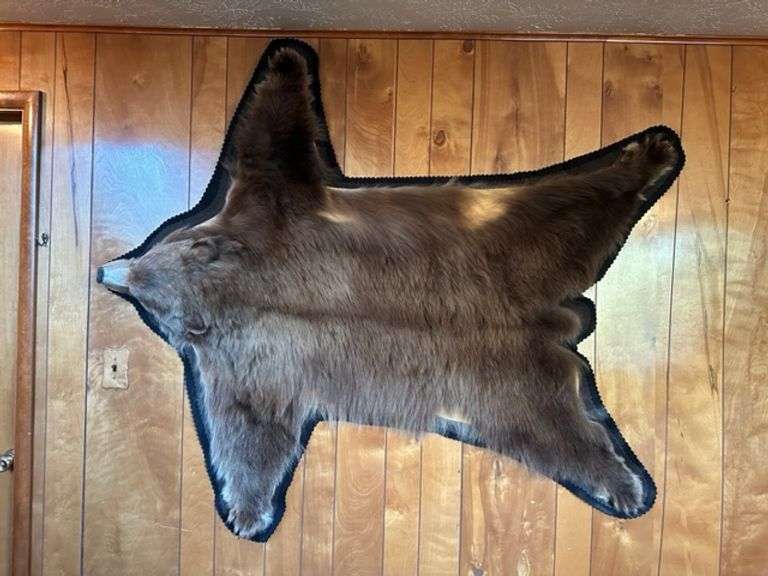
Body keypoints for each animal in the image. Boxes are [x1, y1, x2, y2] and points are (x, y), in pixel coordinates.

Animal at [98, 46, 682, 539]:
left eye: (147, 295)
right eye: (145, 274)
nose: (107, 271)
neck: (231, 290)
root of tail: (559, 319)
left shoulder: (263, 254)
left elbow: (269, 145)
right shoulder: (264, 346)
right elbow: (257, 429)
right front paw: (251, 510)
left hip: (504, 246)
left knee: (573, 196)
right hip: (509, 374)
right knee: (558, 429)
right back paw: (623, 480)